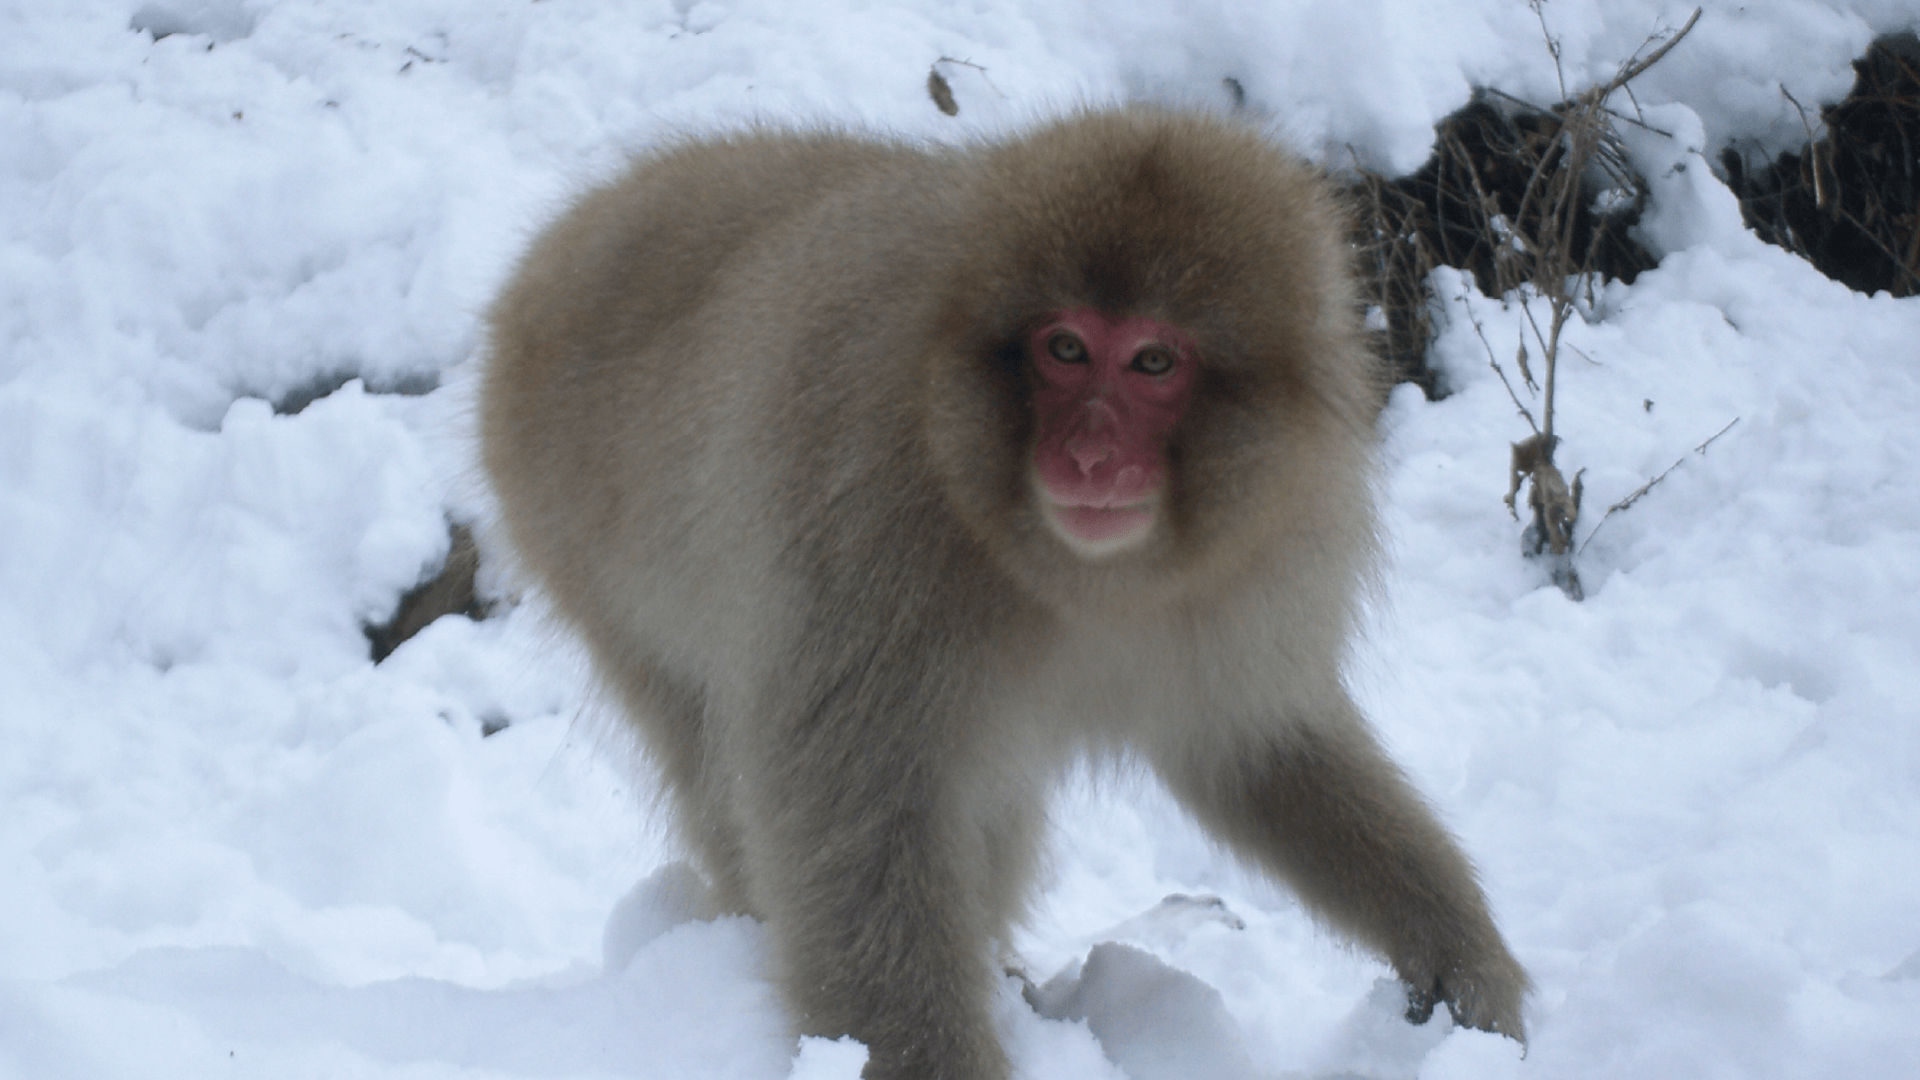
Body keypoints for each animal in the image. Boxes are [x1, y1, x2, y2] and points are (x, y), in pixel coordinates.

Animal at [481, 108, 1529, 1080]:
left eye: (1154, 362)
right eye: (1064, 347)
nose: (1090, 454)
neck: (1072, 566)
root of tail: (564, 239)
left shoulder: (1253, 559)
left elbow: (1258, 746)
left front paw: (1462, 963)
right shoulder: (871, 517)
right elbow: (852, 810)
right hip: (571, 532)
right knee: (719, 751)